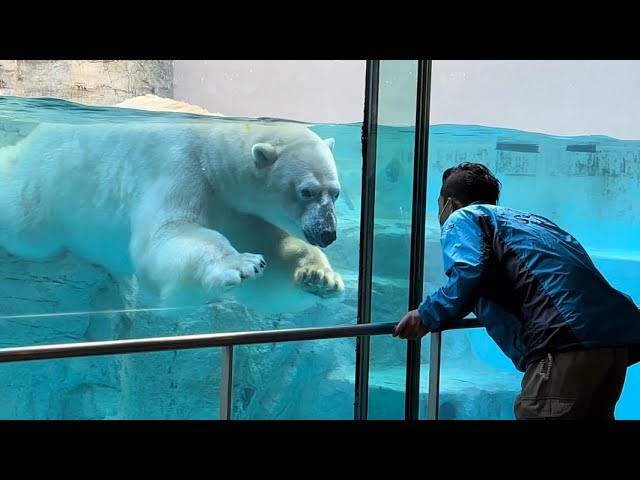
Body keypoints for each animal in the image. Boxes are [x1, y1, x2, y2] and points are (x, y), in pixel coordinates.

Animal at [0, 94, 344, 304]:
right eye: (306, 191)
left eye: (336, 193)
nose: (328, 233)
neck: (212, 153)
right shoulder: (181, 166)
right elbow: (169, 233)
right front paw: (241, 263)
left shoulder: (239, 208)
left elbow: (273, 250)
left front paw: (319, 277)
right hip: (45, 187)